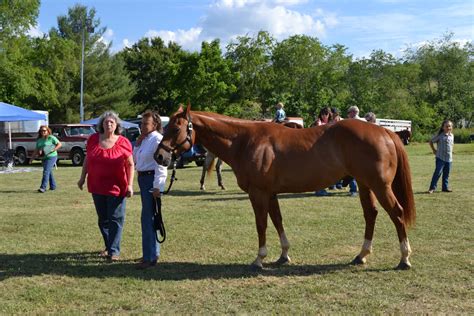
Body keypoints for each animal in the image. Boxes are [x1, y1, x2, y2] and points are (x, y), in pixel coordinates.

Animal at [156, 105, 414, 270]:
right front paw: (284, 255)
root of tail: (384, 131)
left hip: (380, 186)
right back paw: (361, 255)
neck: (245, 141)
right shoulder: (270, 194)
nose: (159, 156)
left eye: (176, 129)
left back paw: (404, 258)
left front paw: (259, 259)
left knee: (397, 213)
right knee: (371, 214)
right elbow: (277, 221)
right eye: (165, 127)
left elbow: (261, 224)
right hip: (364, 184)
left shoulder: (258, 194)